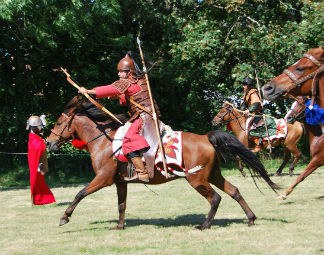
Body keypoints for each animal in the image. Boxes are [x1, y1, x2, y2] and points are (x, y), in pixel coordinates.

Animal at [46, 96, 278, 231]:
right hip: (212, 175)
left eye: (58, 122)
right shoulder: (120, 182)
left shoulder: (103, 178)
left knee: (215, 198)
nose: (49, 142)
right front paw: (119, 226)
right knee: (234, 191)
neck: (104, 141)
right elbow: (121, 204)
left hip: (196, 179)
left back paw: (204, 225)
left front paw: (64, 217)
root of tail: (206, 137)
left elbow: (80, 193)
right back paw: (250, 218)